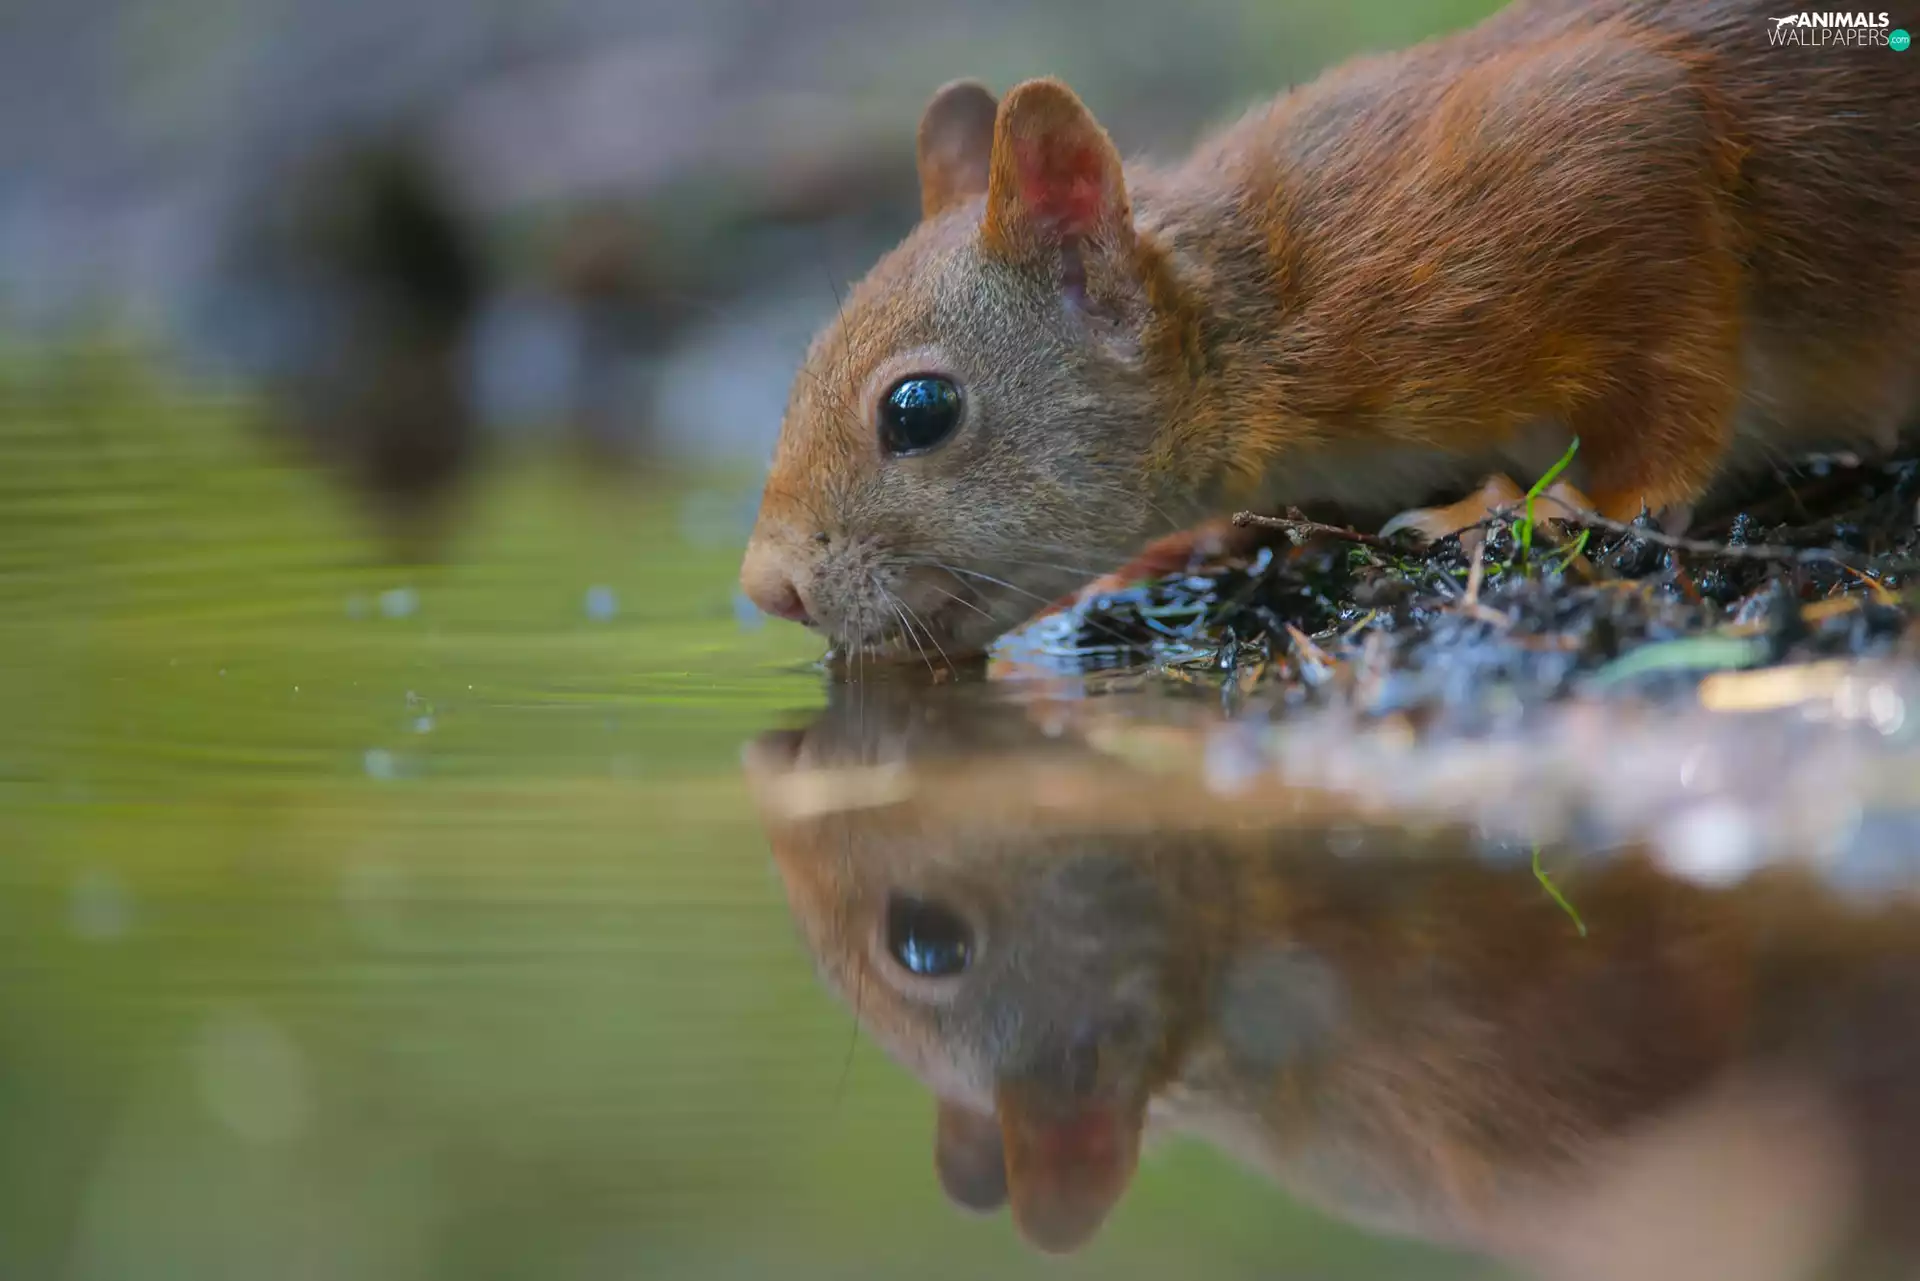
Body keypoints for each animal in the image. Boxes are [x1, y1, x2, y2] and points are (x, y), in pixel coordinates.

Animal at [739, 0, 1920, 661]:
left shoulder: (1603, 154)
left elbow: (1671, 397)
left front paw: (1552, 502)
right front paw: (1187, 546)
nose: (767, 591)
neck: (1255, 328)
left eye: (919, 410)